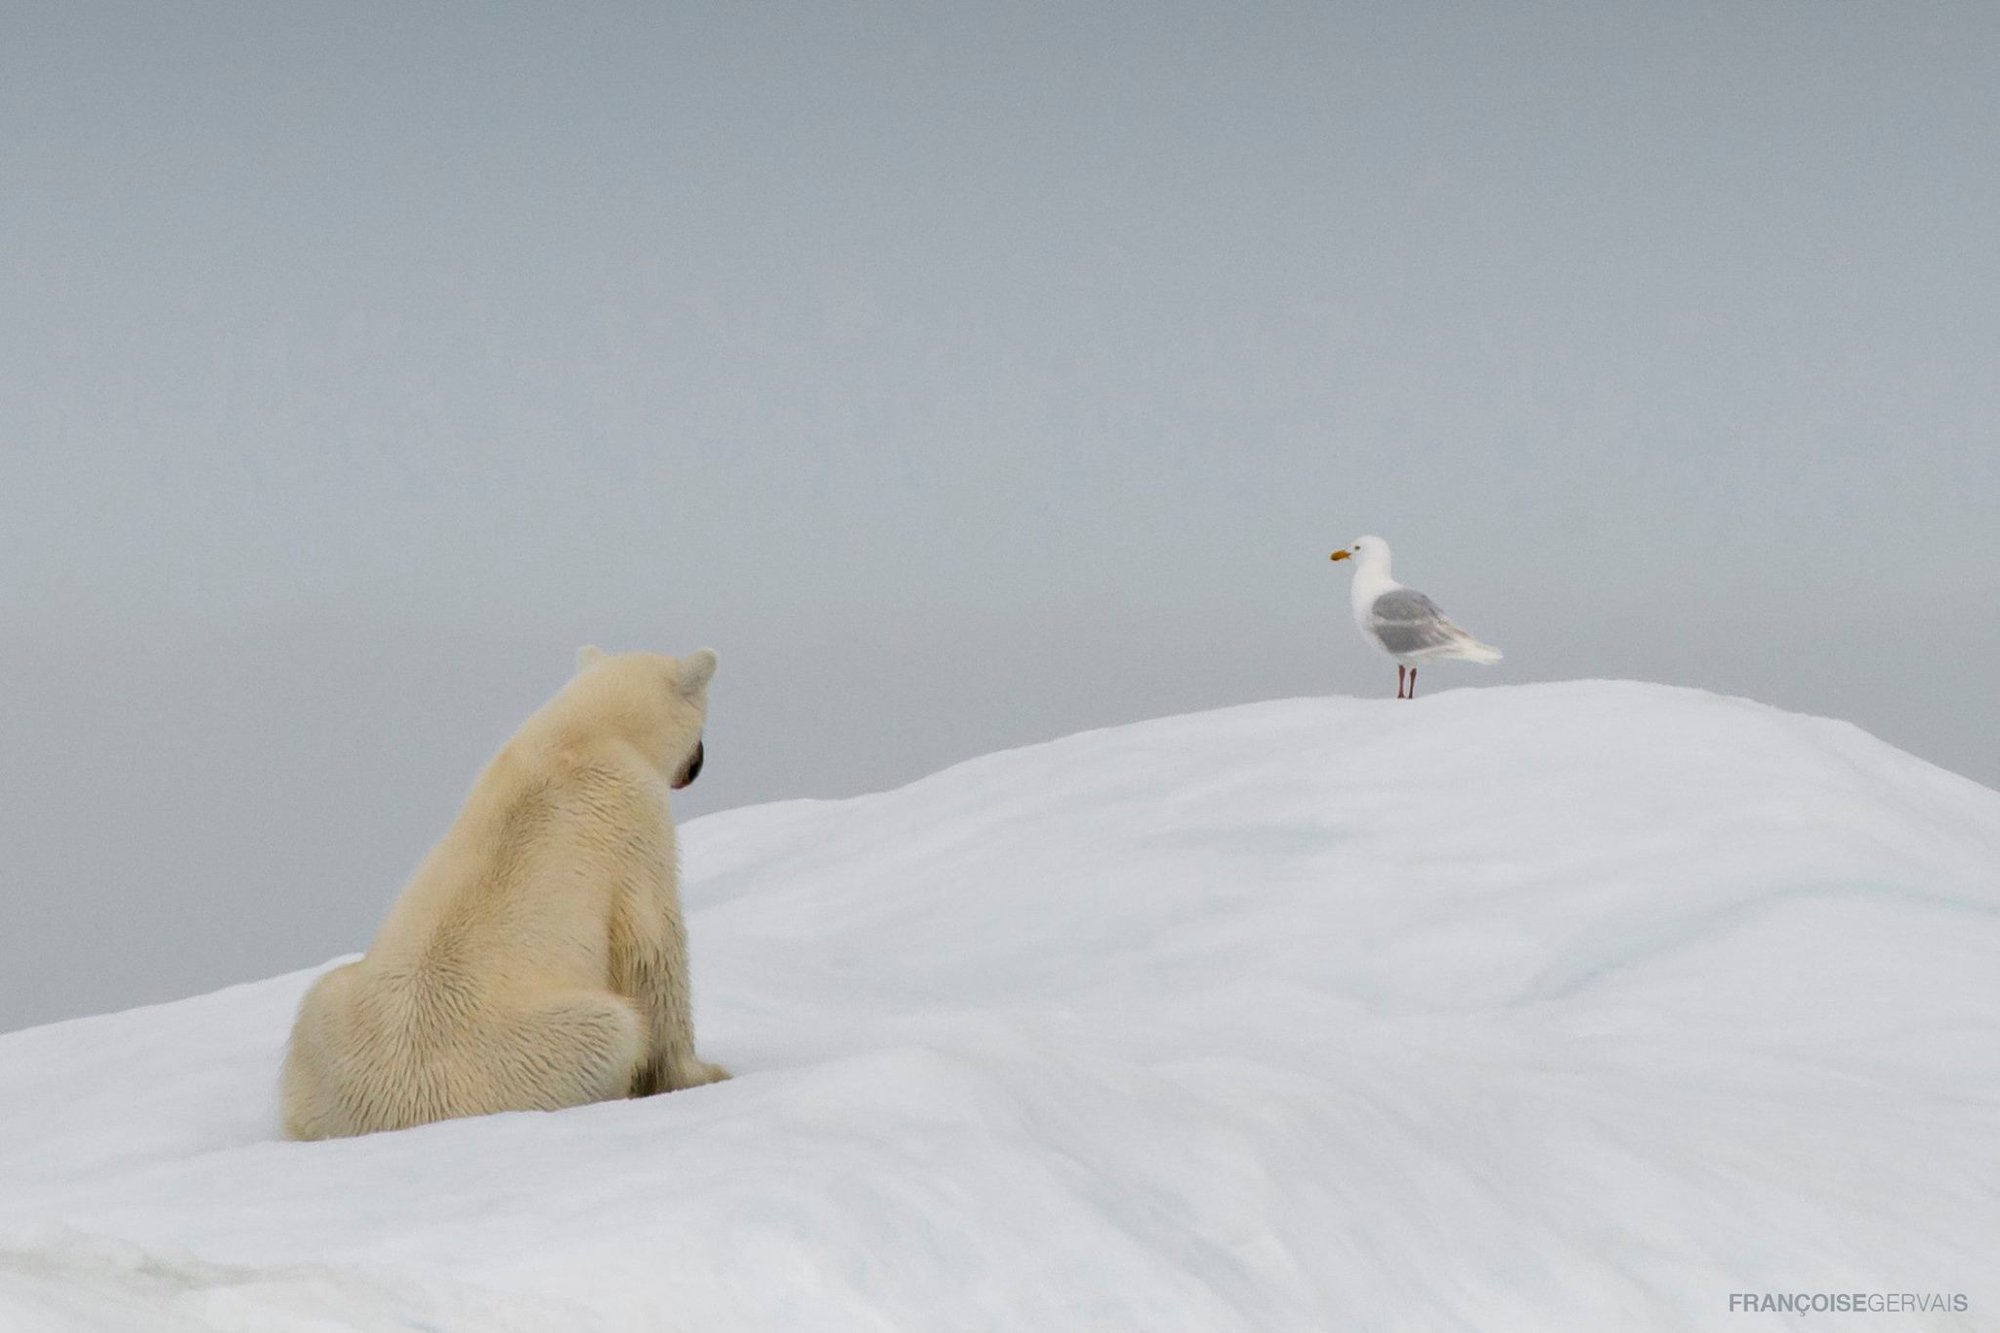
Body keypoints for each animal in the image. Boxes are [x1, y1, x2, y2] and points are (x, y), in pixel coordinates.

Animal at [274, 644, 728, 1144]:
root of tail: (393, 1115)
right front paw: (701, 1073)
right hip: (531, 1048)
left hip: (327, 1032)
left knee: (318, 997)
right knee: (612, 1029)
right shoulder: (635, 822)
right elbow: (653, 950)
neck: (584, 731)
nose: (699, 761)